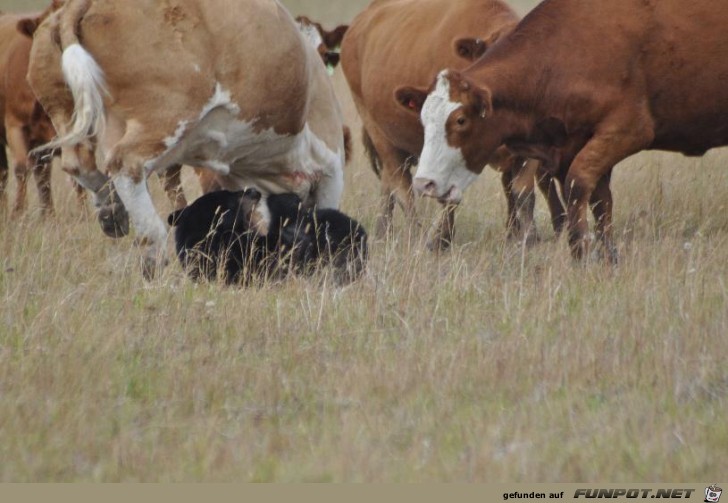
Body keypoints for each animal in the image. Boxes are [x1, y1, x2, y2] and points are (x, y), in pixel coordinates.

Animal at [29, 0, 346, 278]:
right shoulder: (330, 162)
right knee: (125, 165)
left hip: (67, 110)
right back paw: (153, 252)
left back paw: (112, 210)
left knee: (80, 163)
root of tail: (85, 3)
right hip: (168, 112)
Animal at [338, 0, 564, 249]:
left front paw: (526, 239)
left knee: (389, 184)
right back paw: (415, 237)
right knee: (402, 188)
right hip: (379, 134)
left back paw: (382, 232)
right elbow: (447, 195)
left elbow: (522, 192)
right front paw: (441, 240)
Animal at [412, 0, 728, 262]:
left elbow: (578, 186)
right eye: (425, 120)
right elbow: (600, 201)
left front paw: (581, 254)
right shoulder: (573, 144)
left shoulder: (627, 131)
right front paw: (607, 256)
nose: (424, 183)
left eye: (460, 120)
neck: (569, 50)